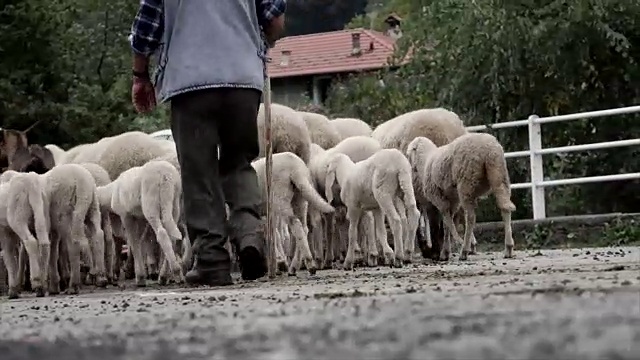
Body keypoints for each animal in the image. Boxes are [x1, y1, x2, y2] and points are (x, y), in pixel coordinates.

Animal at [408, 134, 516, 262]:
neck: (425, 162)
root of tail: (488, 150)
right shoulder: (453, 200)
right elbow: (446, 224)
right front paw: (445, 252)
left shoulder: (439, 199)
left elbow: (448, 222)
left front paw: (455, 244)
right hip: (499, 175)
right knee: (505, 208)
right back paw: (508, 248)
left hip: (466, 183)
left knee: (470, 218)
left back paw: (464, 250)